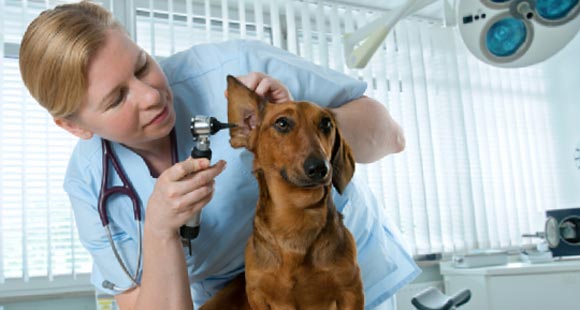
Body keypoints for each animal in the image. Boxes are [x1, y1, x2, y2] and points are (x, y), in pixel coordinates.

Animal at [201, 75, 362, 310]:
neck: (296, 216)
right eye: (282, 123)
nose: (319, 168)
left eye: (326, 123)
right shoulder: (257, 294)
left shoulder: (351, 289)